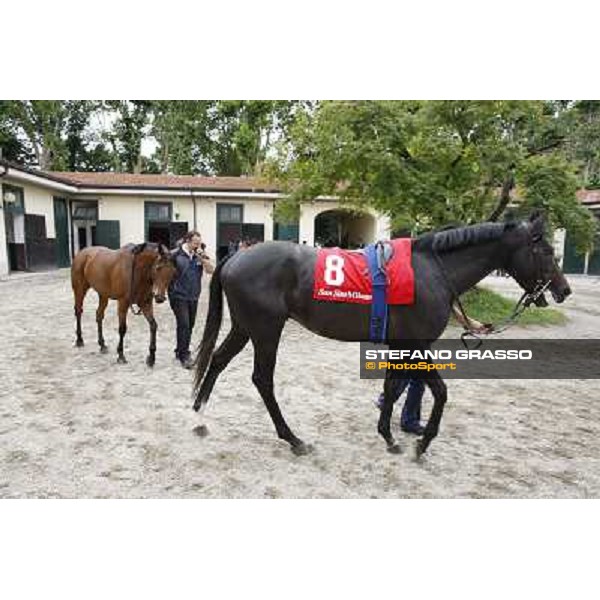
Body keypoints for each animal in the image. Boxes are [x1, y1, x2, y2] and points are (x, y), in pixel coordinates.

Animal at [193, 213, 572, 458]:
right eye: (546, 251)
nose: (564, 290)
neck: (431, 271)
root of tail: (235, 258)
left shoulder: (400, 344)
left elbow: (392, 388)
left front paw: (389, 436)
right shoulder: (417, 344)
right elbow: (440, 391)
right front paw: (423, 443)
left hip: (244, 327)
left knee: (218, 361)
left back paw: (198, 417)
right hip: (266, 329)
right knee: (262, 379)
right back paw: (293, 439)